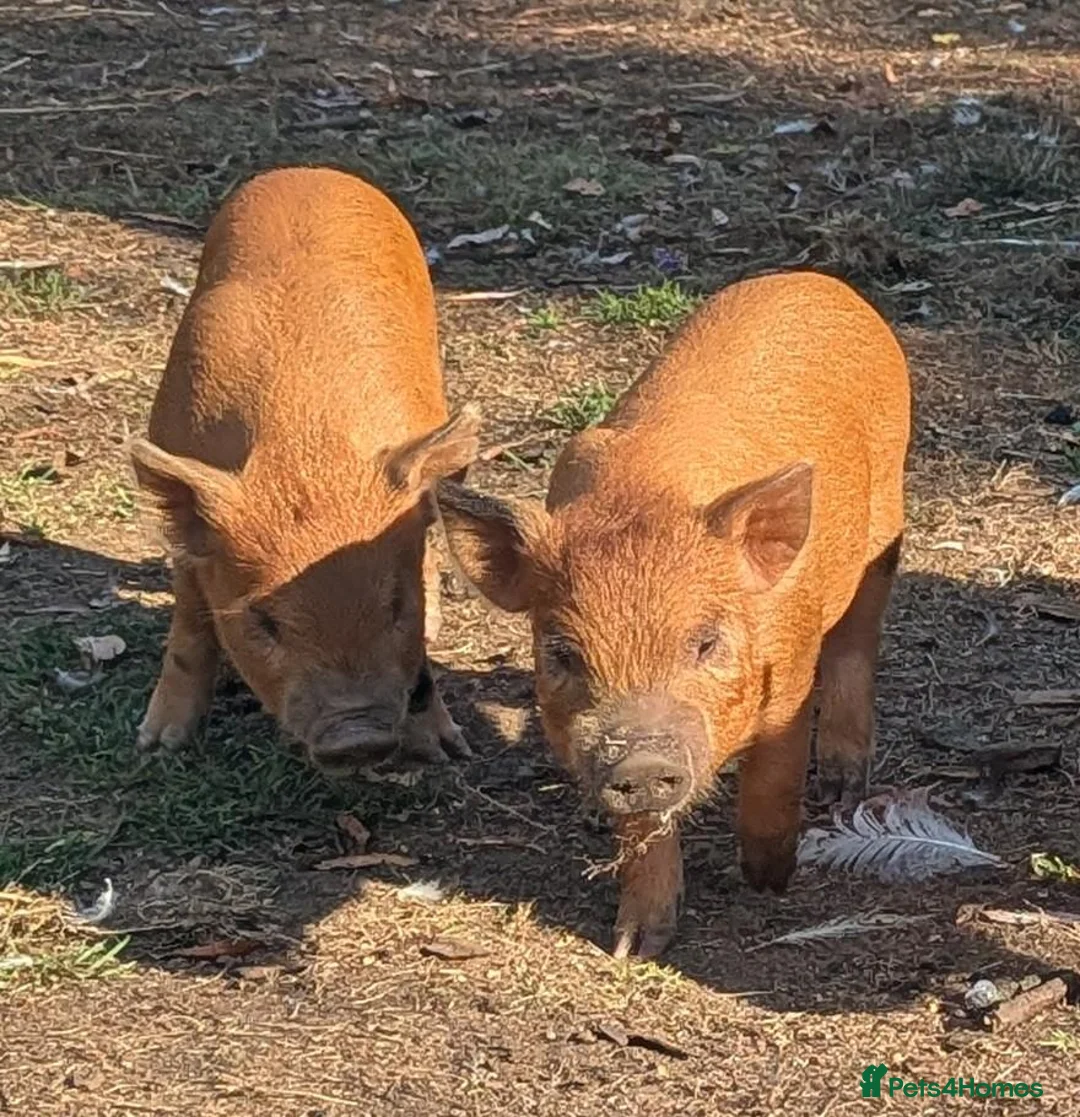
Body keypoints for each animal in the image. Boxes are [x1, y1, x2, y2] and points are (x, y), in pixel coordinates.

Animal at [128, 165, 480, 773]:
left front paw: (447, 750)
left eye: (396, 605)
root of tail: (311, 172)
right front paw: (158, 745)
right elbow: (190, 623)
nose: (358, 736)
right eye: (263, 621)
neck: (305, 450)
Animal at [435, 271, 910, 958]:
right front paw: (634, 947)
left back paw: (842, 788)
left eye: (706, 644)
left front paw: (768, 880)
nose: (643, 761)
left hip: (886, 520)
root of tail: (815, 280)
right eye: (561, 653)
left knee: (858, 638)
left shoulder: (792, 668)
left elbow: (775, 770)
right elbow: (645, 833)